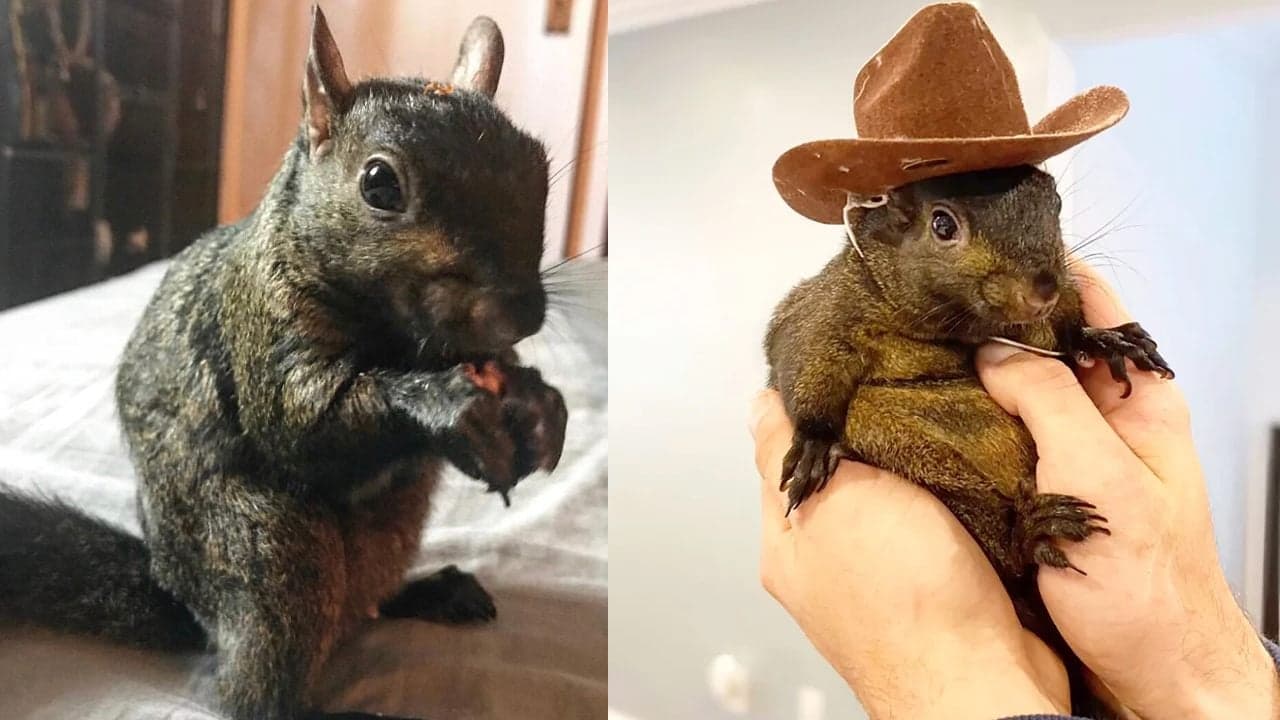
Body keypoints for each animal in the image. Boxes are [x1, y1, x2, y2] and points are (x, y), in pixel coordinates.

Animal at [0, 8, 567, 720]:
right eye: (379, 184)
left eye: (539, 164)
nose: (514, 315)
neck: (399, 338)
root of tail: (191, 606)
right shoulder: (259, 320)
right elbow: (298, 427)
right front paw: (443, 403)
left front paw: (537, 403)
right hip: (269, 548)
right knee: (257, 690)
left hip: (392, 528)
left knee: (365, 604)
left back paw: (428, 592)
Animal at [765, 164, 1173, 717]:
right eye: (942, 225)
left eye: (1055, 203)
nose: (1042, 289)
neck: (960, 328)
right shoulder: (824, 312)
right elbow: (804, 358)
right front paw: (813, 441)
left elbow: (1068, 330)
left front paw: (1106, 340)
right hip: (921, 461)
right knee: (1005, 551)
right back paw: (1030, 533)